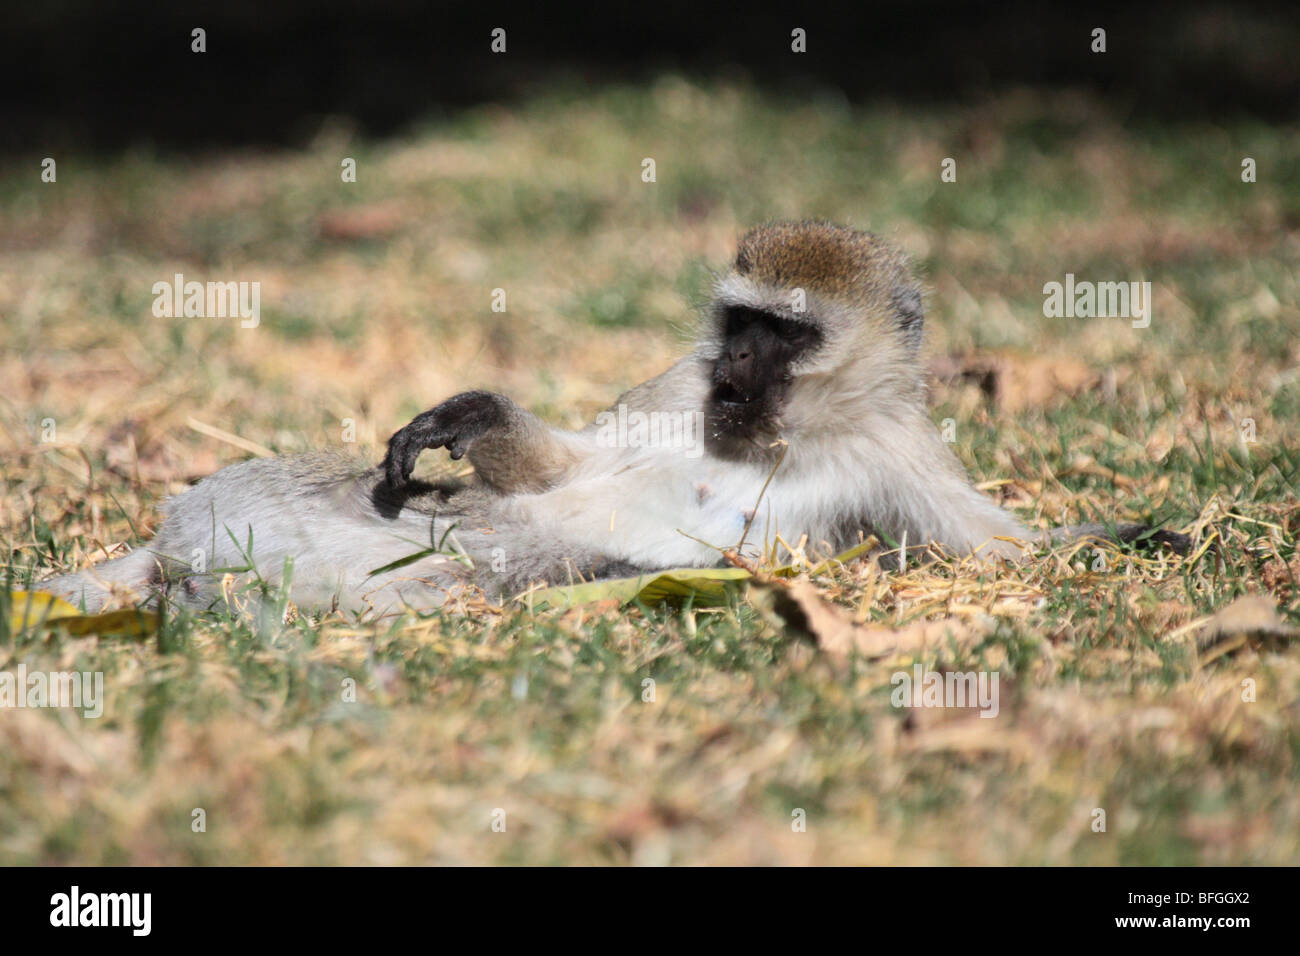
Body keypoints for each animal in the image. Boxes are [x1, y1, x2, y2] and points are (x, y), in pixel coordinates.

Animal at [35, 221, 1189, 616]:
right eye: (738, 322)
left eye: (786, 333)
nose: (735, 362)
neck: (784, 429)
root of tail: (175, 548)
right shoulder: (679, 385)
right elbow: (569, 465)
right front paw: (472, 414)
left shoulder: (897, 456)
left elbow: (1000, 550)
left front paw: (1141, 534)